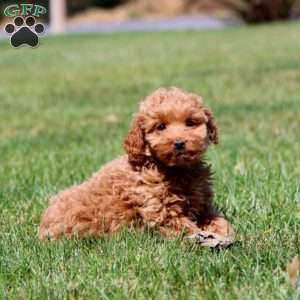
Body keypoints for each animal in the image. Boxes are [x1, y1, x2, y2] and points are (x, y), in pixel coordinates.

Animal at [38, 86, 234, 244]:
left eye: (190, 122)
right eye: (161, 126)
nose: (179, 143)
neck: (175, 170)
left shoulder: (203, 205)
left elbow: (217, 219)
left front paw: (224, 232)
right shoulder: (160, 212)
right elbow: (186, 227)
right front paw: (205, 239)